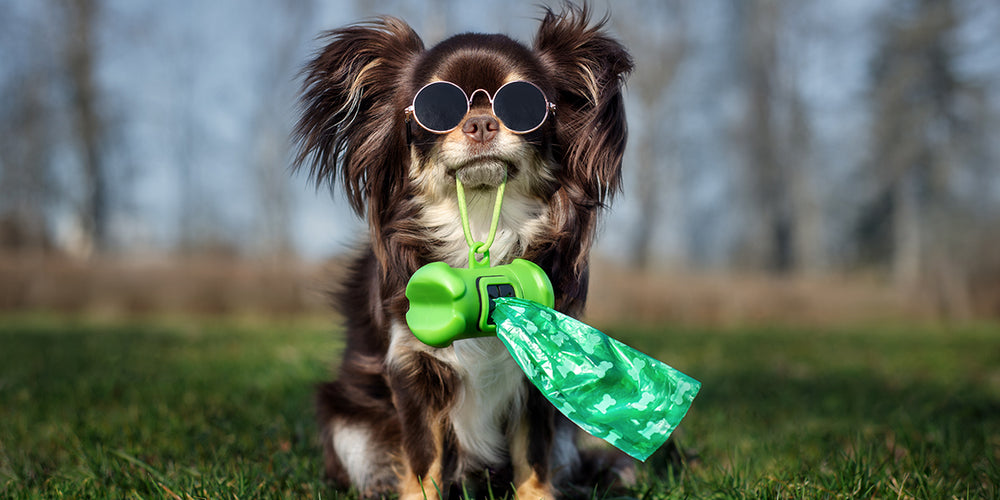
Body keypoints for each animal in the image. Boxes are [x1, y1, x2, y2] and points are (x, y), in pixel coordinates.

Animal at [292, 4, 632, 500]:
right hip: (349, 424)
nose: (481, 122)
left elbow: (533, 455)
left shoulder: (540, 368)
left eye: (525, 105)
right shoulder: (411, 367)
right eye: (434, 108)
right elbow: (423, 458)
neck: (481, 218)